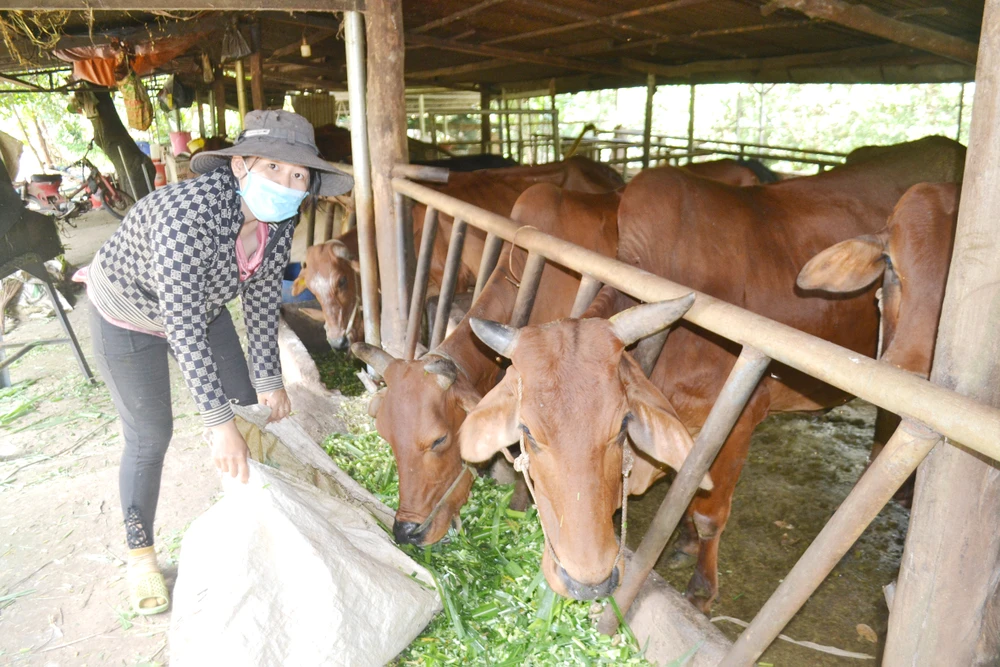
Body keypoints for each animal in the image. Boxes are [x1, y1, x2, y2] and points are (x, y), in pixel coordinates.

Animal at [458, 137, 964, 612]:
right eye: (527, 432)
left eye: (621, 427)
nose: (588, 581)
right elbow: (686, 488)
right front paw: (680, 542)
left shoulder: (739, 419)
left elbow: (709, 514)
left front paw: (701, 589)